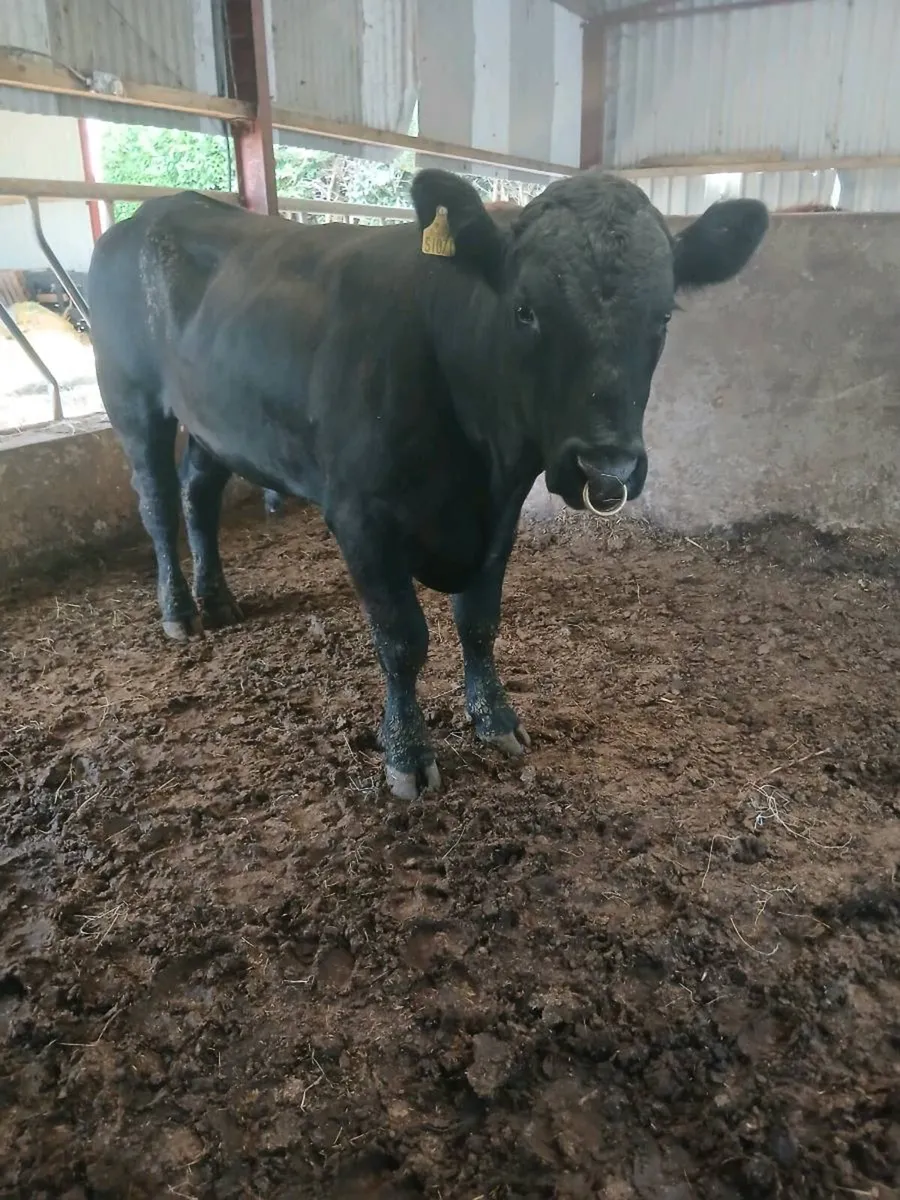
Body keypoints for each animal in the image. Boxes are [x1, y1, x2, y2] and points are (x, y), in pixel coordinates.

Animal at [87, 168, 768, 799]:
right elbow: (402, 641)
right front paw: (406, 754)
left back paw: (219, 600)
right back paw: (179, 611)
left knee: (199, 495)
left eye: (663, 317)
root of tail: (153, 212)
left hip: (214, 424)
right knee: (158, 503)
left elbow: (479, 621)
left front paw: (495, 719)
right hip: (133, 401)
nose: (608, 468)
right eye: (525, 310)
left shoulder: (501, 515)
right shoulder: (360, 518)